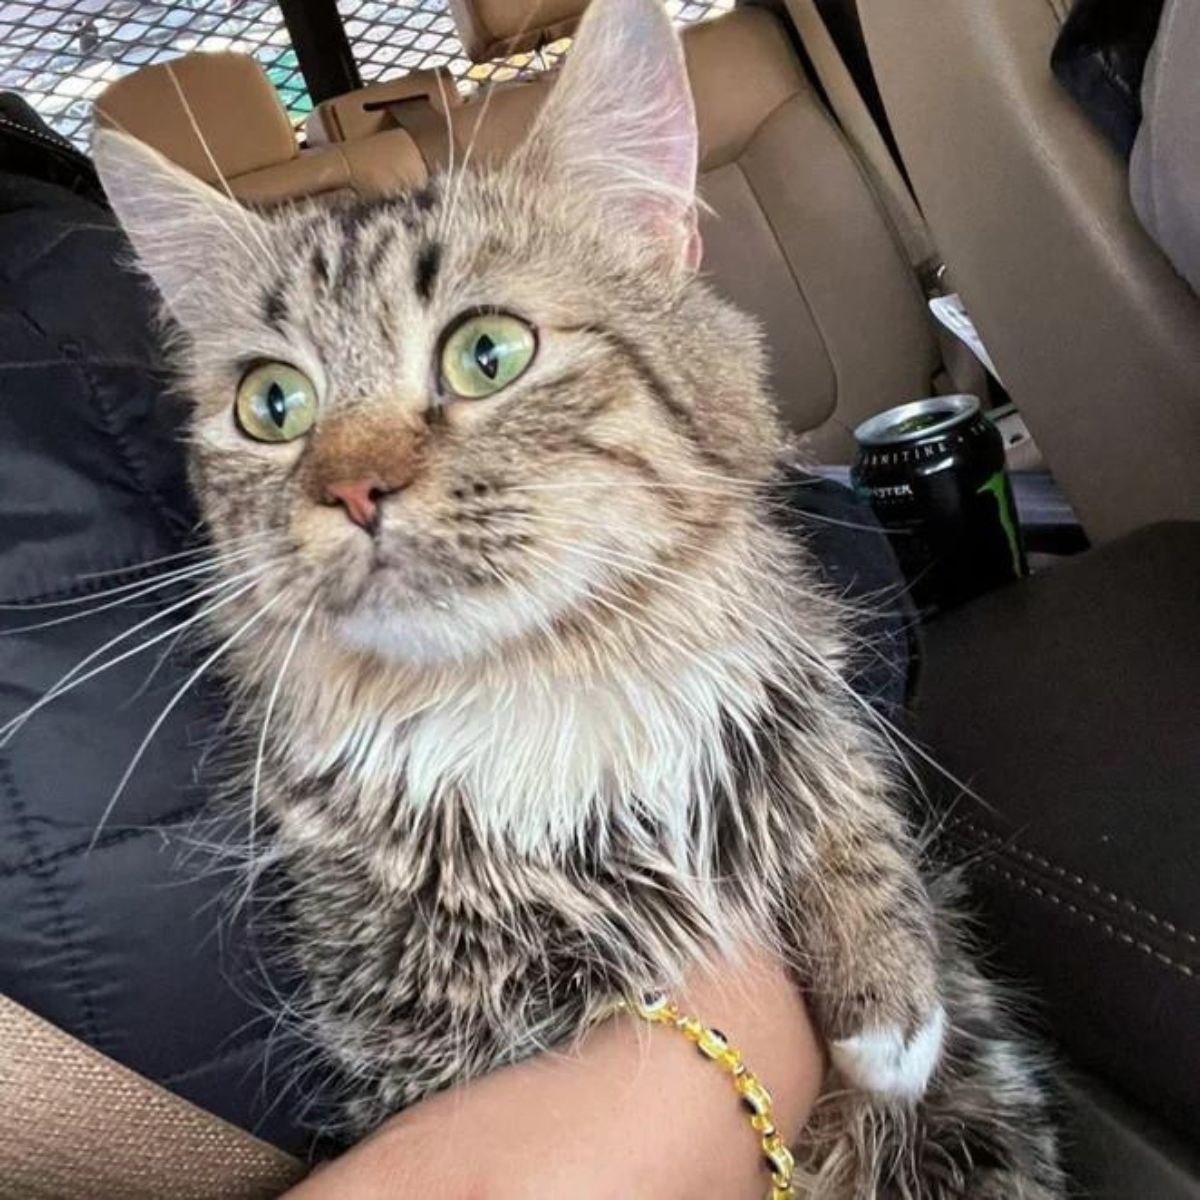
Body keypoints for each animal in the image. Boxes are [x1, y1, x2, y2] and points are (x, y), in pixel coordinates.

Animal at [93, 0, 1060, 1185]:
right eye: (273, 405)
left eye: (488, 353)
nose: (353, 489)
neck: (543, 696)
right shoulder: (417, 1014)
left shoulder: (784, 677)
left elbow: (841, 790)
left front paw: (891, 1002)